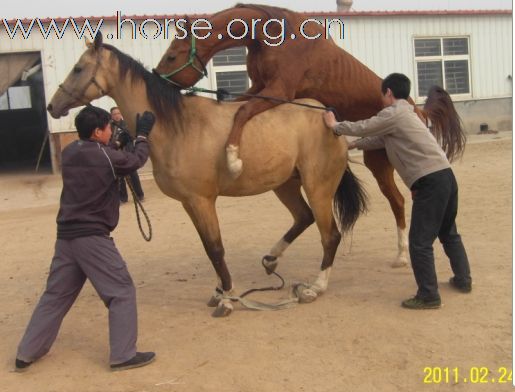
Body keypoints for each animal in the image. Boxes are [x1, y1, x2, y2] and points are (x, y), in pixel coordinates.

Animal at [45, 33, 366, 316]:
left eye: (78, 68)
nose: (52, 106)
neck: (177, 126)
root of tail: (329, 118)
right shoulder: (189, 203)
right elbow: (208, 248)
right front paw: (221, 292)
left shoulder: (202, 200)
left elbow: (215, 249)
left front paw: (227, 299)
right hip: (285, 184)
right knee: (303, 217)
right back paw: (271, 260)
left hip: (318, 188)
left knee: (330, 235)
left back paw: (315, 288)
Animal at [153, 3, 468, 268]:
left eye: (172, 55)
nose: (156, 77)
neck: (272, 34)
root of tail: (416, 109)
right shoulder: (259, 86)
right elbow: (235, 105)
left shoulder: (279, 90)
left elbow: (242, 112)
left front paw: (232, 159)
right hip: (378, 160)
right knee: (400, 201)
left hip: (384, 163)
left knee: (399, 202)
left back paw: (402, 255)